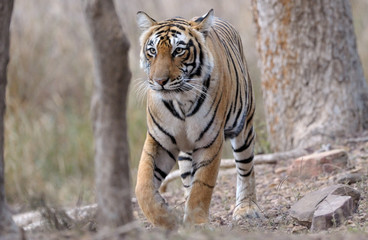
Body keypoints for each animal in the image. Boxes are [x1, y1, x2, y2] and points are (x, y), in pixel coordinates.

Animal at [135, 9, 258, 229]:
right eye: (152, 51)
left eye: (178, 51)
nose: (159, 81)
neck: (180, 100)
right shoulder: (159, 140)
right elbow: (143, 187)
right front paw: (166, 218)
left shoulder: (210, 141)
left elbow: (202, 186)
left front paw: (196, 223)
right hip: (185, 151)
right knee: (186, 178)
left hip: (244, 127)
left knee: (245, 168)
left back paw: (247, 208)